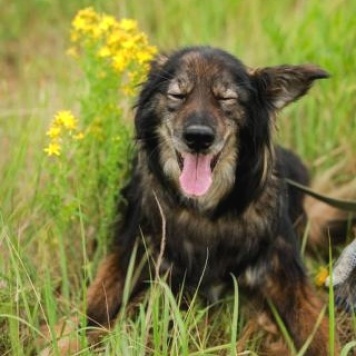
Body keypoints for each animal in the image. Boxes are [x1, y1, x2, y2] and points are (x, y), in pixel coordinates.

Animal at [85, 46, 336, 354]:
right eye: (178, 94)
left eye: (226, 98)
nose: (198, 138)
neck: (205, 212)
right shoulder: (132, 254)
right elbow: (92, 311)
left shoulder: (285, 273)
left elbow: (318, 332)